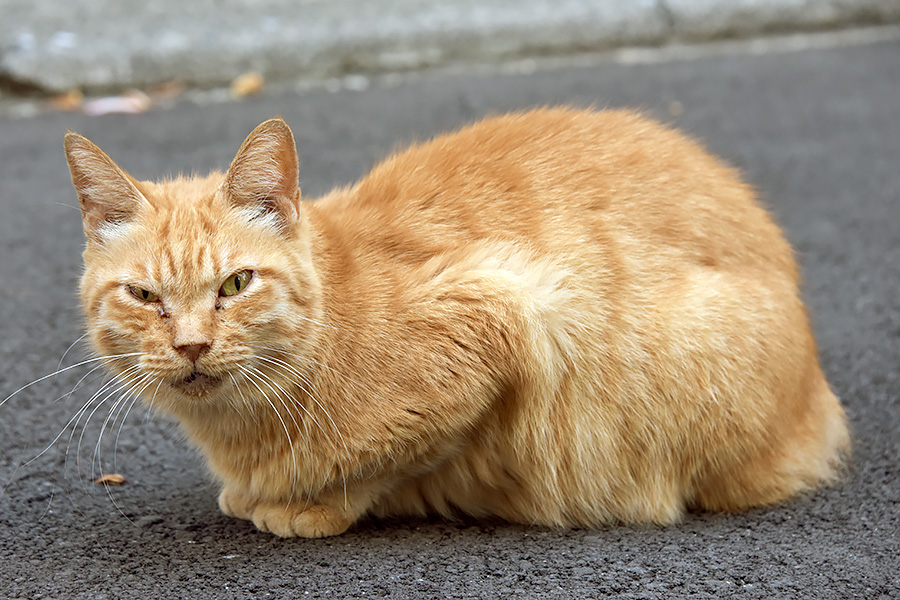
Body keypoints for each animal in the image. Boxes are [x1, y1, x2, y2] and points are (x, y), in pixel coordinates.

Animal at [65, 108, 852, 540]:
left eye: (235, 284)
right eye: (144, 295)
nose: (191, 344)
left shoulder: (514, 311)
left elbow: (387, 460)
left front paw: (308, 505)